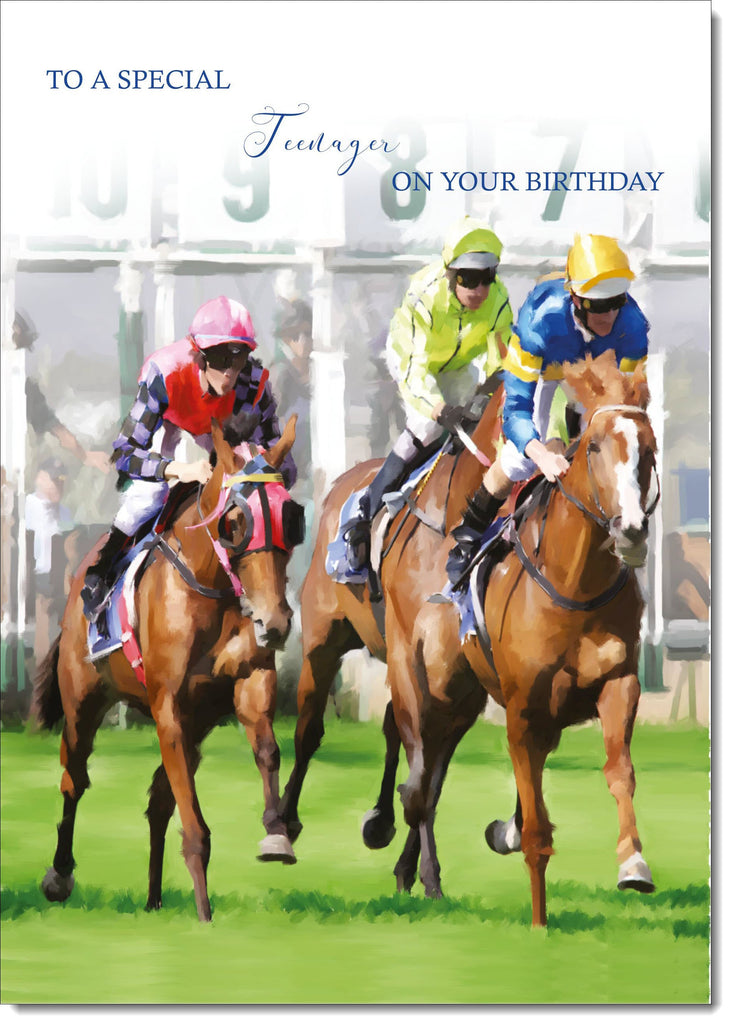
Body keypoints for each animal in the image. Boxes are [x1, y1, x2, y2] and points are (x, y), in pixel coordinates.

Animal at [31, 416, 302, 922]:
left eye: (289, 519)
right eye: (235, 522)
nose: (274, 623)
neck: (211, 587)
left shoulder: (247, 681)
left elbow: (268, 750)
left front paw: (277, 833)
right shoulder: (168, 705)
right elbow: (194, 823)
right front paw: (205, 914)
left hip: (198, 723)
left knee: (159, 799)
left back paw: (155, 898)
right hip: (83, 703)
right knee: (74, 779)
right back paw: (59, 875)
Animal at [381, 352, 659, 926]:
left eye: (648, 448)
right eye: (594, 446)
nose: (631, 530)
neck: (576, 586)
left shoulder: (617, 683)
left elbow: (618, 770)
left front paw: (634, 865)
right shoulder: (521, 705)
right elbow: (533, 824)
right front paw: (538, 921)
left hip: (463, 698)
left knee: (430, 779)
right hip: (419, 677)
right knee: (418, 780)